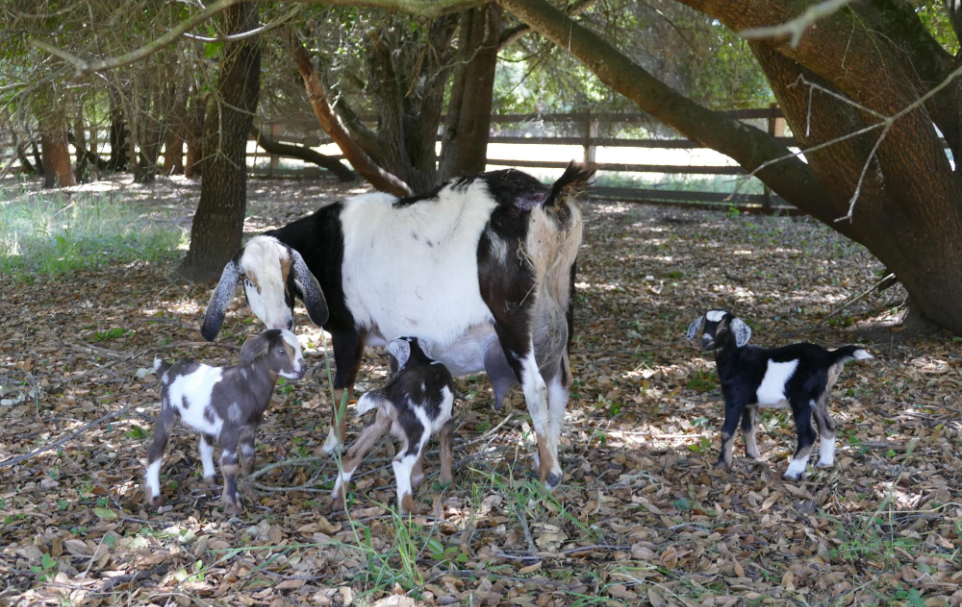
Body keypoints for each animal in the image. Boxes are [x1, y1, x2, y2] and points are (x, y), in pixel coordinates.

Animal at [144, 330, 304, 516]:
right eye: (281, 351)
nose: (303, 368)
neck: (246, 384)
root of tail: (169, 369)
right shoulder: (229, 431)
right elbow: (230, 466)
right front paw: (233, 505)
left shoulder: (248, 429)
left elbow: (249, 459)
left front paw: (250, 493)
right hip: (167, 410)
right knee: (156, 449)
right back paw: (154, 498)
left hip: (204, 419)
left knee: (204, 446)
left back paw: (210, 478)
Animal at [201, 162, 592, 490]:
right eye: (248, 280)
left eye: (286, 273)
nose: (282, 323)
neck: (328, 243)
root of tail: (547, 199)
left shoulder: (349, 332)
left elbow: (341, 390)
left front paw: (330, 447)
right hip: (560, 301)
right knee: (561, 380)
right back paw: (549, 455)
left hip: (512, 315)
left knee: (536, 387)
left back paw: (549, 474)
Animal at [332, 338, 456, 516]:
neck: (420, 359)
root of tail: (389, 392)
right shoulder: (447, 423)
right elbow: (446, 454)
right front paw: (446, 483)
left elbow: (421, 457)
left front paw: (418, 479)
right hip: (420, 430)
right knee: (400, 463)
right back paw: (408, 510)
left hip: (378, 425)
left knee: (353, 454)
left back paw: (337, 499)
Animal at [684, 312, 872, 482]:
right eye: (705, 323)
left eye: (724, 327)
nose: (705, 340)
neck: (736, 359)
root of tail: (829, 356)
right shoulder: (750, 402)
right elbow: (748, 427)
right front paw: (753, 456)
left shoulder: (734, 398)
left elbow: (727, 431)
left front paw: (721, 465)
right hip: (819, 397)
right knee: (828, 426)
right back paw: (825, 463)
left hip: (801, 398)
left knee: (808, 434)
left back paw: (793, 472)